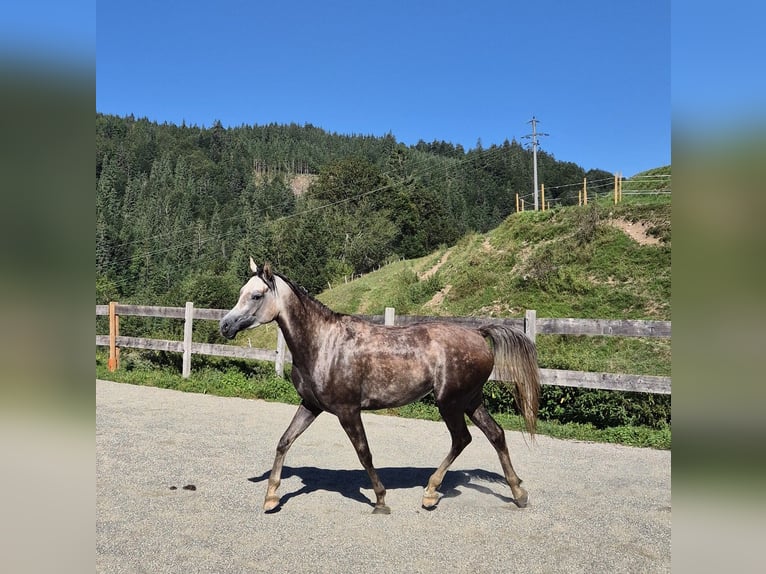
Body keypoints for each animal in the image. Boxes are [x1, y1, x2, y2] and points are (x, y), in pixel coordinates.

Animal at [220, 258, 541, 514]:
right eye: (241, 292)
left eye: (256, 295)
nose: (225, 325)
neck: (322, 344)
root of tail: (478, 332)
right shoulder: (311, 406)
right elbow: (284, 441)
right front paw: (271, 498)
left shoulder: (348, 411)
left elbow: (364, 453)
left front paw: (381, 500)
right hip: (471, 401)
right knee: (496, 435)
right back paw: (519, 492)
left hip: (450, 403)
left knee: (462, 439)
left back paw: (430, 493)